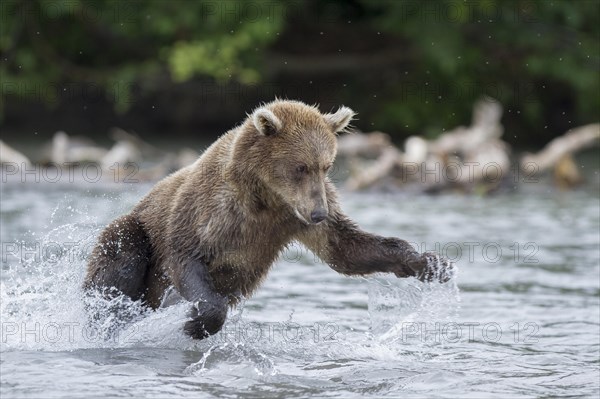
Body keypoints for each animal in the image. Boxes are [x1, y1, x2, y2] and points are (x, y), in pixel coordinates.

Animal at [83, 98, 450, 340]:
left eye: (326, 165)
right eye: (300, 166)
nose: (319, 213)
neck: (265, 197)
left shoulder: (292, 218)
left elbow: (345, 248)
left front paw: (429, 262)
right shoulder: (210, 209)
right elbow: (186, 254)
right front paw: (196, 322)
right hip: (134, 230)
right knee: (121, 253)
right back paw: (111, 319)